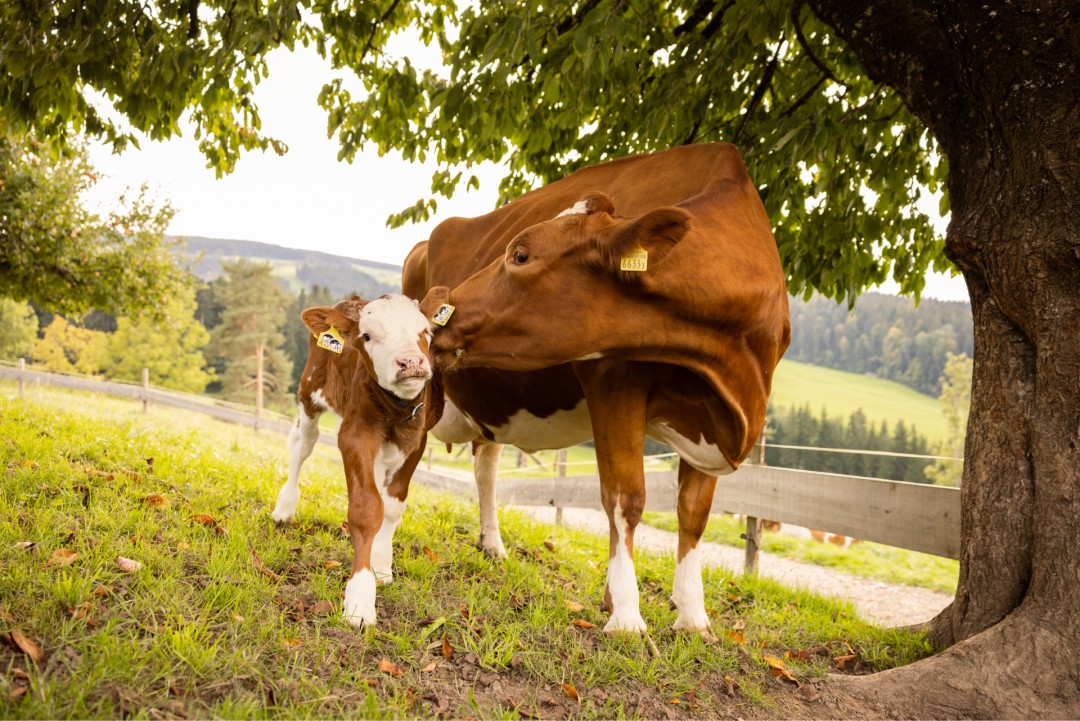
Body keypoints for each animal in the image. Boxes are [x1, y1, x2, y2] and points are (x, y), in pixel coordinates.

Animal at [270, 294, 437, 627]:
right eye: (367, 336)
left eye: (425, 330)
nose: (411, 362)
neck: (396, 412)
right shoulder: (354, 435)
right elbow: (366, 509)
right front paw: (360, 597)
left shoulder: (417, 441)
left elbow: (392, 506)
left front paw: (381, 563)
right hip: (310, 389)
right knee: (302, 445)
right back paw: (284, 508)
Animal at [405, 142, 790, 636]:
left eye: (520, 255)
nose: (436, 307)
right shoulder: (613, 377)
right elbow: (625, 498)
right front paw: (625, 614)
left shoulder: (710, 419)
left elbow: (693, 512)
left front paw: (693, 617)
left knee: (486, 465)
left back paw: (492, 545)